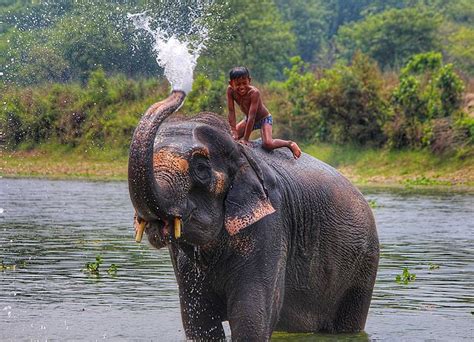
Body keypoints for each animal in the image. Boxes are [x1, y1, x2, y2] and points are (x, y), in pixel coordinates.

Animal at [128, 89, 380, 340]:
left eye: (200, 168)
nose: (178, 90)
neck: (242, 155)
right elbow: (199, 321)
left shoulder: (272, 225)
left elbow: (250, 318)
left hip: (362, 268)